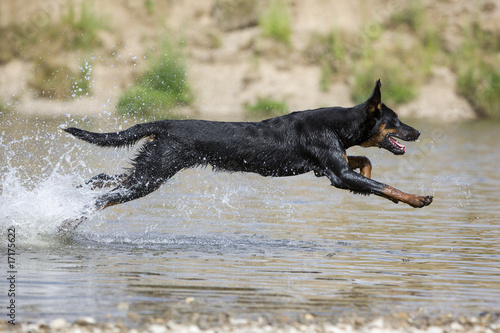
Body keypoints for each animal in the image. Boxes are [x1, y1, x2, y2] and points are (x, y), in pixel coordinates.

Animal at [61, 80, 430, 224]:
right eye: (396, 121)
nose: (417, 132)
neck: (338, 124)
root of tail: (164, 123)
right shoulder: (337, 174)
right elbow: (385, 186)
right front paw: (416, 199)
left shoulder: (328, 167)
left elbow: (365, 164)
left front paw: (368, 175)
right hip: (152, 176)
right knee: (103, 198)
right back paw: (68, 220)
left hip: (149, 168)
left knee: (102, 179)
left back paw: (78, 189)